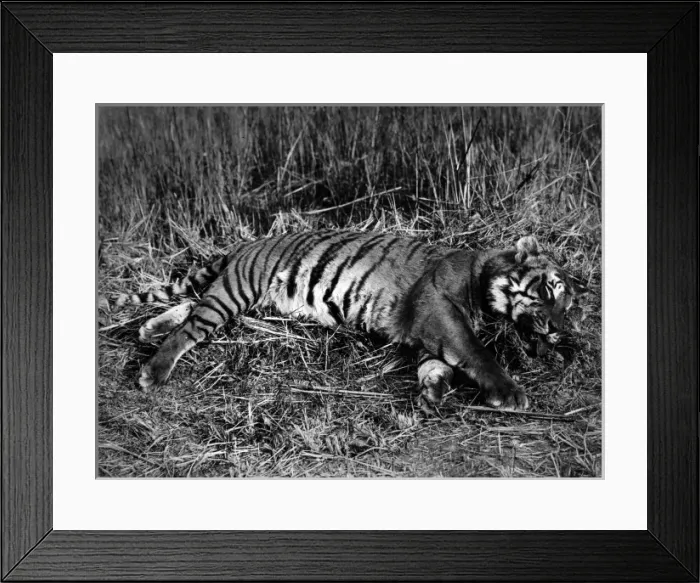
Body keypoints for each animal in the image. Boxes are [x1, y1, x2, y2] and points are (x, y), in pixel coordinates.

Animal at [115, 230, 587, 411]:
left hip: (232, 295)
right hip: (238, 290)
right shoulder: (438, 307)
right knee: (191, 328)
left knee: (191, 308)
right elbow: (475, 350)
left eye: (566, 309)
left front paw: (432, 390)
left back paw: (149, 329)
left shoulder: (424, 332)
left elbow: (439, 363)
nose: (556, 330)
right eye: (548, 292)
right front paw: (510, 392)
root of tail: (245, 246)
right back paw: (153, 371)